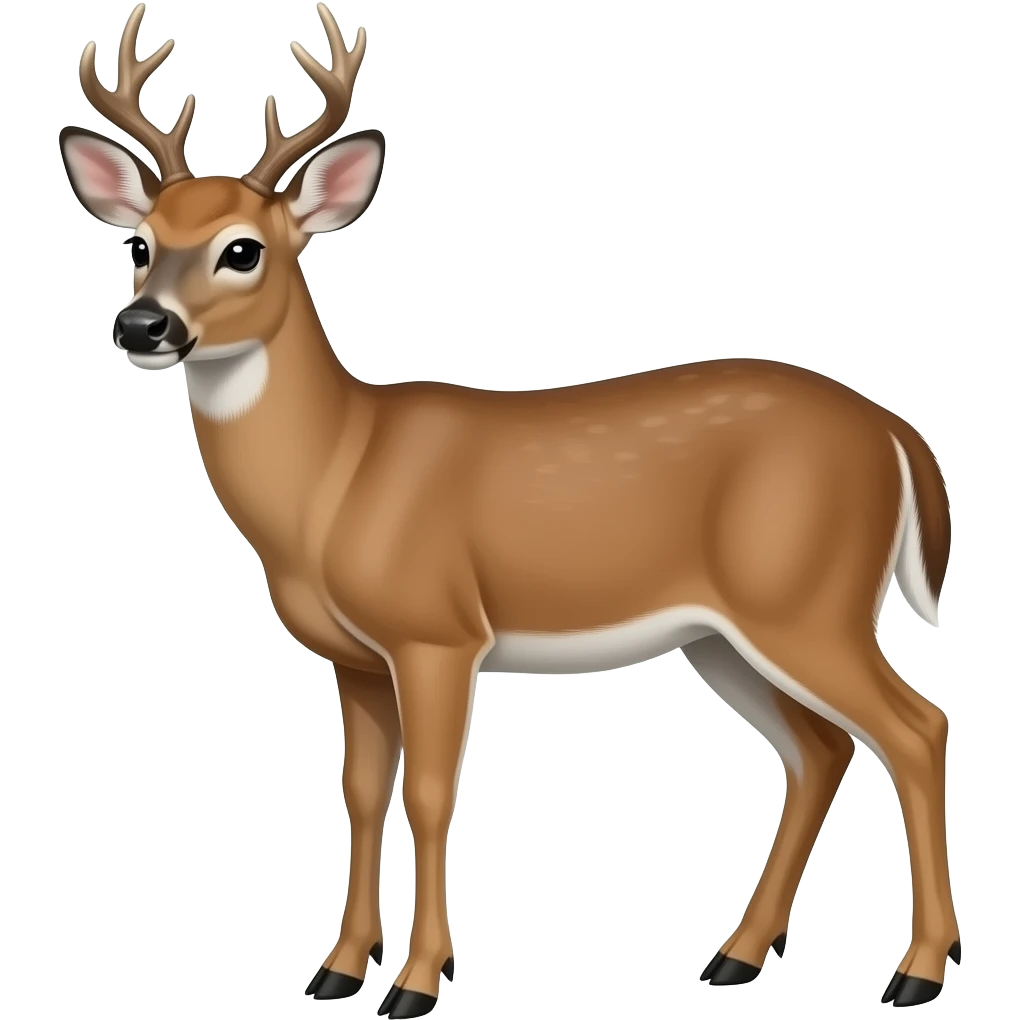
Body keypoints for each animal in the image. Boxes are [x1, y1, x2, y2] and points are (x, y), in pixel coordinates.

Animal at [59, 3, 960, 1014]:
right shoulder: (355, 657)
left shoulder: (439, 632)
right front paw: (337, 970)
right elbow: (360, 792)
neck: (337, 477)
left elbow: (428, 793)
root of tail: (896, 434)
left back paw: (917, 972)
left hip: (808, 600)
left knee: (917, 728)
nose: (143, 325)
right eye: (141, 244)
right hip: (726, 634)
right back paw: (736, 957)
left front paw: (417, 981)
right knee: (819, 751)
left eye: (242, 249)